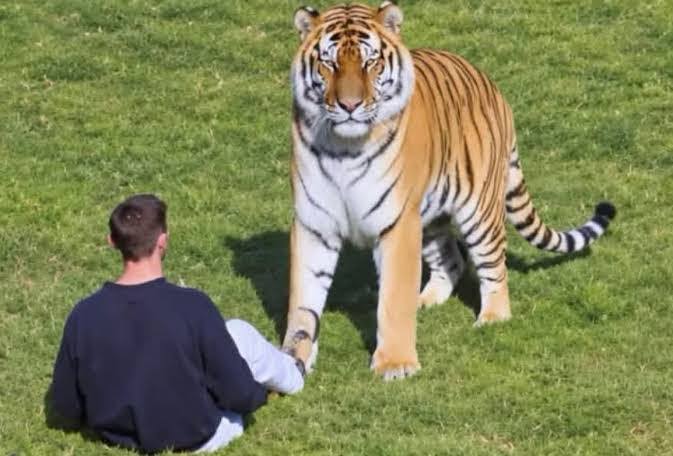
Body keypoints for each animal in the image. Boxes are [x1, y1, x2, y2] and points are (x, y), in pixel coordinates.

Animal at [281, 2, 616, 380]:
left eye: (370, 63)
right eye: (329, 63)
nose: (349, 106)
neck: (344, 147)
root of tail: (490, 83)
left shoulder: (397, 224)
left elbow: (393, 298)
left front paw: (395, 363)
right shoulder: (313, 224)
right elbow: (303, 303)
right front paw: (293, 359)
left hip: (478, 212)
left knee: (492, 266)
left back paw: (493, 317)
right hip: (429, 217)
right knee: (451, 260)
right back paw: (425, 300)